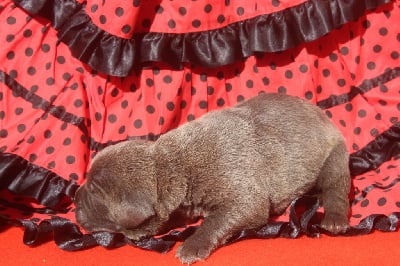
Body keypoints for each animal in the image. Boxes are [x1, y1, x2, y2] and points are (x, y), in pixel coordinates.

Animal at [75, 93, 350, 264]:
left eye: (95, 192)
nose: (76, 197)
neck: (173, 164)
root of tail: (320, 113)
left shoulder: (244, 197)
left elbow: (217, 220)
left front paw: (192, 245)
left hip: (335, 155)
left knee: (336, 188)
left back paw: (335, 220)